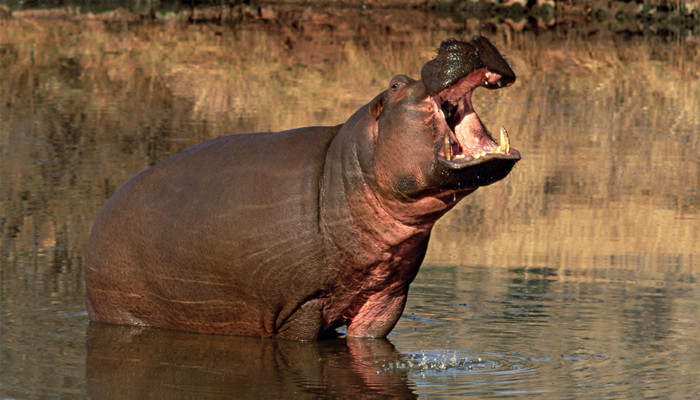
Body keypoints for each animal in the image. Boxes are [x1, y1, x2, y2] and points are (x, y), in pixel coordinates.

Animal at [85, 36, 520, 340]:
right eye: (396, 84)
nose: (461, 39)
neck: (351, 169)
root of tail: (101, 212)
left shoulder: (386, 298)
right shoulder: (301, 306)